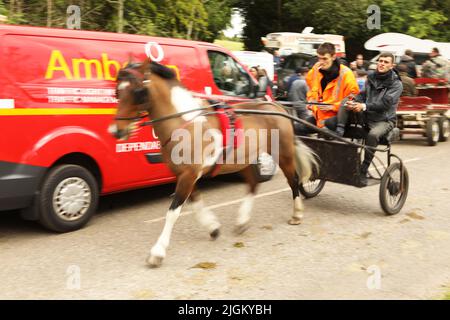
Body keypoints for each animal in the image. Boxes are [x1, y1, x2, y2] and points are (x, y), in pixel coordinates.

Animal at [108, 60, 316, 268]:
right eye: (118, 91)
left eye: (137, 91)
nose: (117, 131)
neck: (185, 125)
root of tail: (276, 106)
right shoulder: (183, 175)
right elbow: (196, 202)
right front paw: (213, 227)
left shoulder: (189, 175)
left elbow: (173, 212)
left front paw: (157, 252)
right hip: (244, 160)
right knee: (253, 184)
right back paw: (242, 220)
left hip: (283, 154)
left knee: (293, 180)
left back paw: (297, 214)